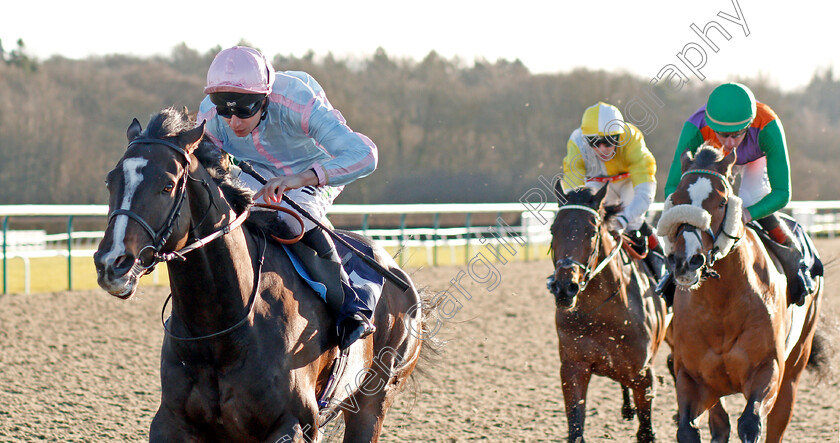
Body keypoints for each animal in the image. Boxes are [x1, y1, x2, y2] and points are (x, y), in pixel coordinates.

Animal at [93, 108, 426, 443]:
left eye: (168, 185)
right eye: (110, 181)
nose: (112, 263)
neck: (220, 328)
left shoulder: (294, 423)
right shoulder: (171, 421)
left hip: (373, 400)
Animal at [548, 182, 672, 442]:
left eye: (592, 232)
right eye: (554, 230)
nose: (564, 287)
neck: (600, 315)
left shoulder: (643, 376)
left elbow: (646, 432)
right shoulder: (573, 368)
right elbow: (576, 431)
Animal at [652, 144, 824, 442]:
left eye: (722, 203)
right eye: (676, 198)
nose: (685, 261)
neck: (721, 304)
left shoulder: (767, 369)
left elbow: (750, 423)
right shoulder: (692, 378)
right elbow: (688, 429)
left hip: (795, 364)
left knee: (779, 417)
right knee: (720, 424)